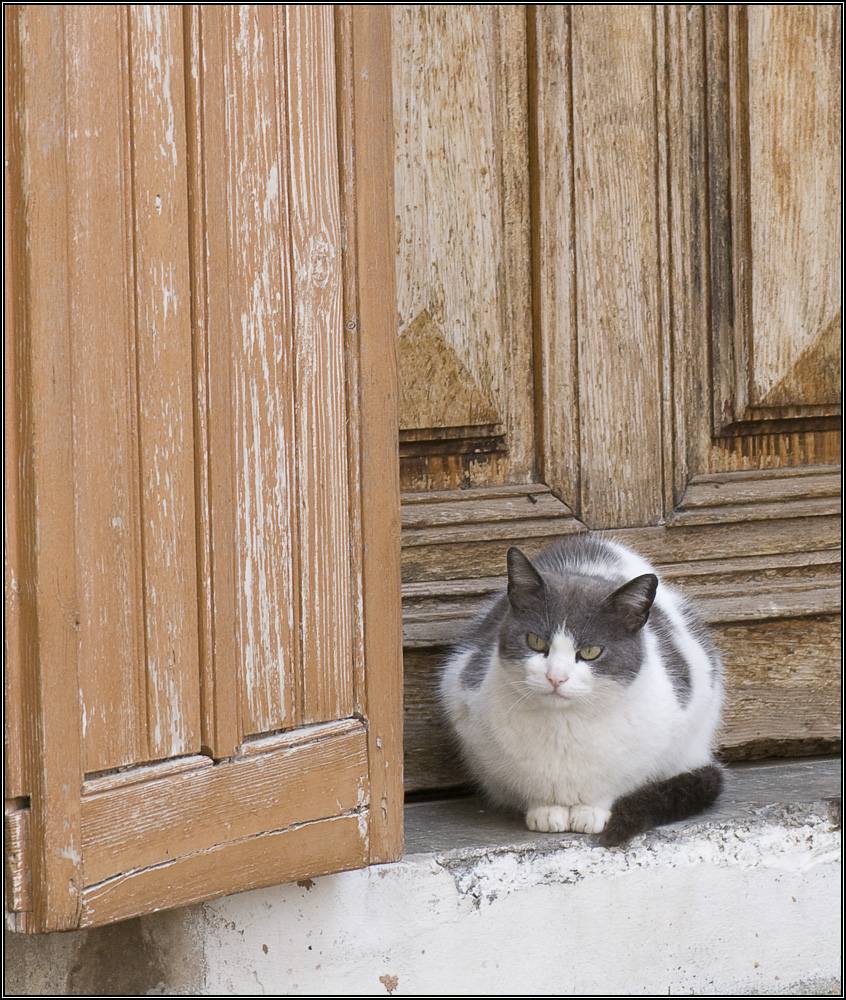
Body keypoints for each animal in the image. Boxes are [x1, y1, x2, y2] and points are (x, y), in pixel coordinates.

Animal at [440, 532, 724, 844]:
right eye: (535, 642)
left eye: (590, 651)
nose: (556, 677)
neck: (564, 725)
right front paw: (546, 810)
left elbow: (610, 785)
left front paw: (591, 811)